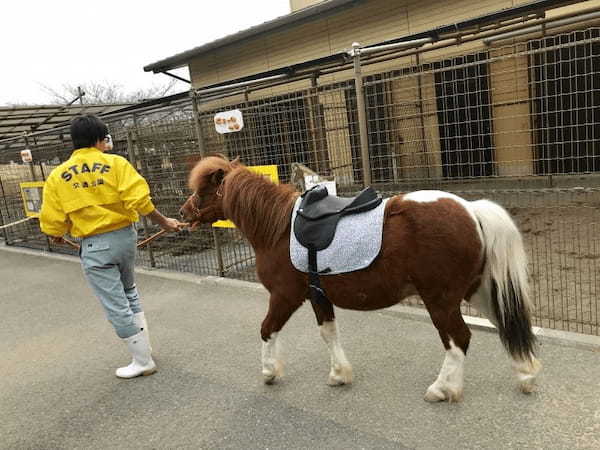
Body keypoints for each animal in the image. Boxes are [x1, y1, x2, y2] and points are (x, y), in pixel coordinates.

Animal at [180, 156, 540, 402]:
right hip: (477, 291)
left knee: (459, 340)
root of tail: (471, 209)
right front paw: (340, 374)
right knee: (507, 324)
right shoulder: (318, 296)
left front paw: (269, 371)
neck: (278, 228)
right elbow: (329, 333)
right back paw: (527, 375)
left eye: (202, 189)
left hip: (441, 300)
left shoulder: (284, 296)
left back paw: (442, 388)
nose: (183, 213)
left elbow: (267, 329)